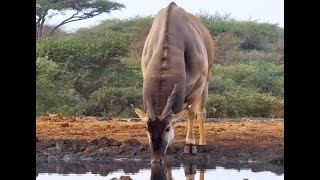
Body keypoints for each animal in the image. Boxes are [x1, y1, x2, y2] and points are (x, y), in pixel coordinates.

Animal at [131, 1, 214, 163]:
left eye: (167, 128)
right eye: (147, 128)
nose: (156, 158)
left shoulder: (199, 83)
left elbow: (191, 112)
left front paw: (190, 144)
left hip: (206, 83)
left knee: (201, 112)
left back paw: (202, 142)